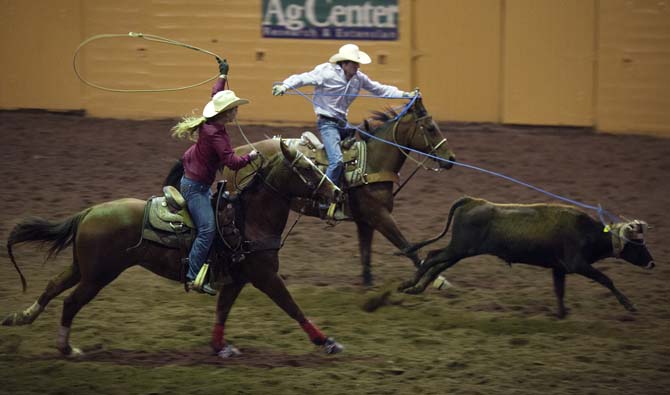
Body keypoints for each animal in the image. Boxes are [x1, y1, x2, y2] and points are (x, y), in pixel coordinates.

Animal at [2, 142, 344, 358]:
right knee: (70, 302)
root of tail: (88, 212)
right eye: (306, 168)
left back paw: (21, 318)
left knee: (53, 286)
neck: (249, 220)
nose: (336, 191)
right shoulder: (265, 277)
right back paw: (66, 348)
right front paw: (327, 341)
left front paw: (220, 347)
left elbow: (222, 312)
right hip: (98, 275)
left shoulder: (237, 279)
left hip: (83, 268)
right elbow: (292, 307)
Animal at [220, 97, 456, 286]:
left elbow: (366, 253)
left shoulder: (366, 221)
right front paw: (439, 281)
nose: (451, 159)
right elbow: (407, 246)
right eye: (431, 127)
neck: (371, 164)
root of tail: (237, 153)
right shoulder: (381, 217)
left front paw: (368, 283)